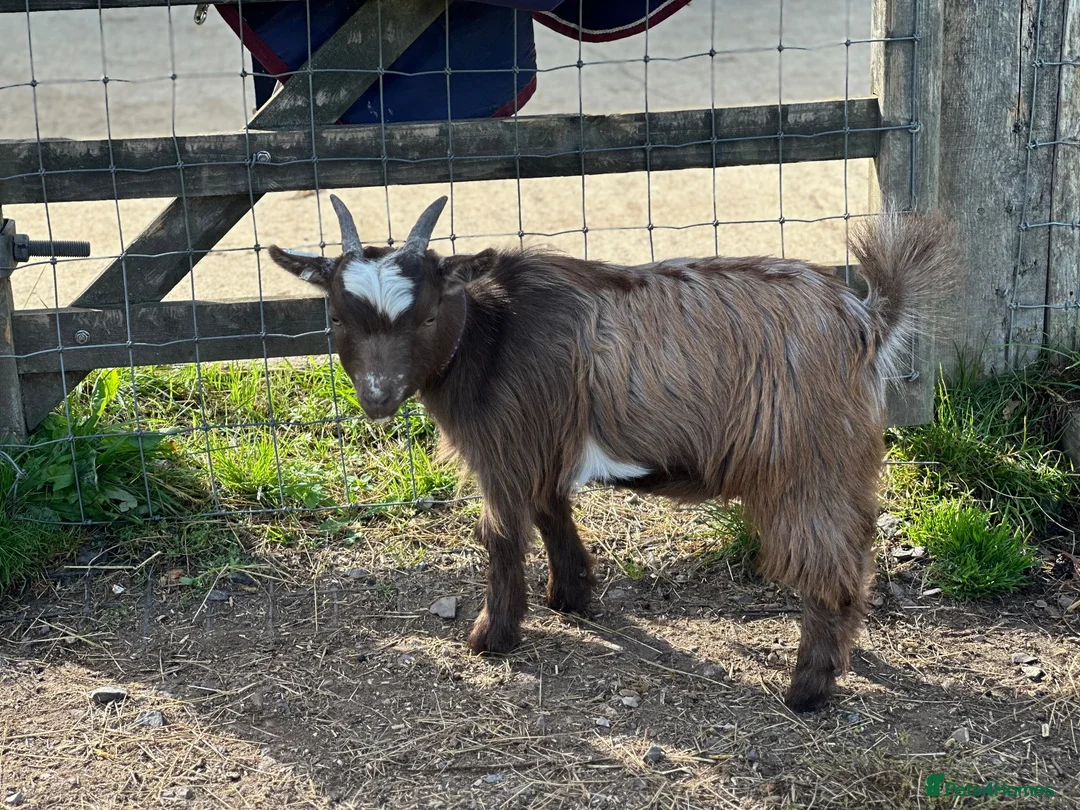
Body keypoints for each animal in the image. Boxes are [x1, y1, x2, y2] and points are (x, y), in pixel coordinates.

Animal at [269, 195, 958, 712]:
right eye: (337, 316)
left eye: (428, 313)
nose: (378, 396)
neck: (492, 334)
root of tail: (865, 318)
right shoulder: (544, 441)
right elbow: (552, 511)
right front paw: (570, 595)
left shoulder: (507, 448)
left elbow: (503, 535)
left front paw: (492, 637)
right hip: (844, 465)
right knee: (857, 549)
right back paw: (844, 656)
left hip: (805, 463)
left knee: (825, 564)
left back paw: (807, 689)